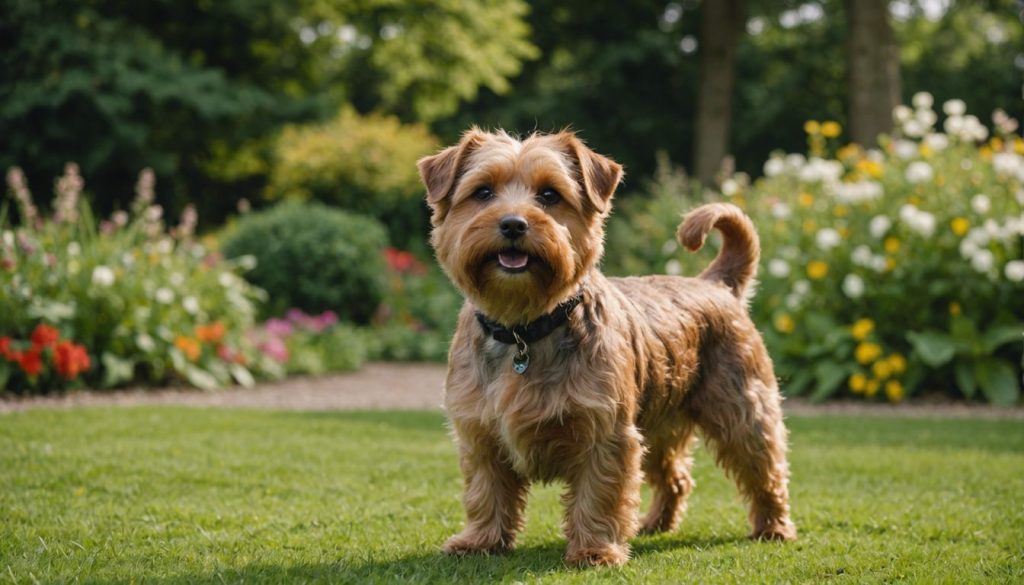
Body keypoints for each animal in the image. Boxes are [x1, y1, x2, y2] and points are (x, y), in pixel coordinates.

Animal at [417, 128, 798, 569]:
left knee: (767, 471)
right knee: (677, 478)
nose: (513, 223)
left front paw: (595, 550)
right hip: (658, 426)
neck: (524, 330)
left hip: (743, 414)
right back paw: (655, 523)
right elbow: (485, 492)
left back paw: (774, 527)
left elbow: (599, 495)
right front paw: (480, 540)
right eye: (482, 192)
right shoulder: (480, 434)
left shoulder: (606, 435)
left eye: (549, 195)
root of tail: (714, 283)